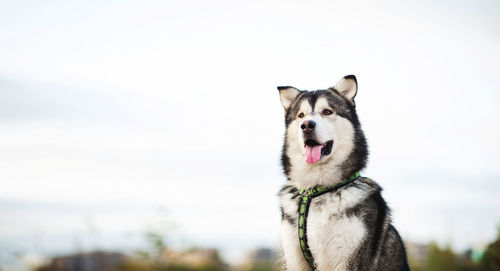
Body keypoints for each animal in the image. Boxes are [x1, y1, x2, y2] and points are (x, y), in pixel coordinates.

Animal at [278, 76, 410, 271]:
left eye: (327, 111)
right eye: (301, 115)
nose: (306, 125)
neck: (315, 191)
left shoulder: (347, 258)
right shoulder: (295, 259)